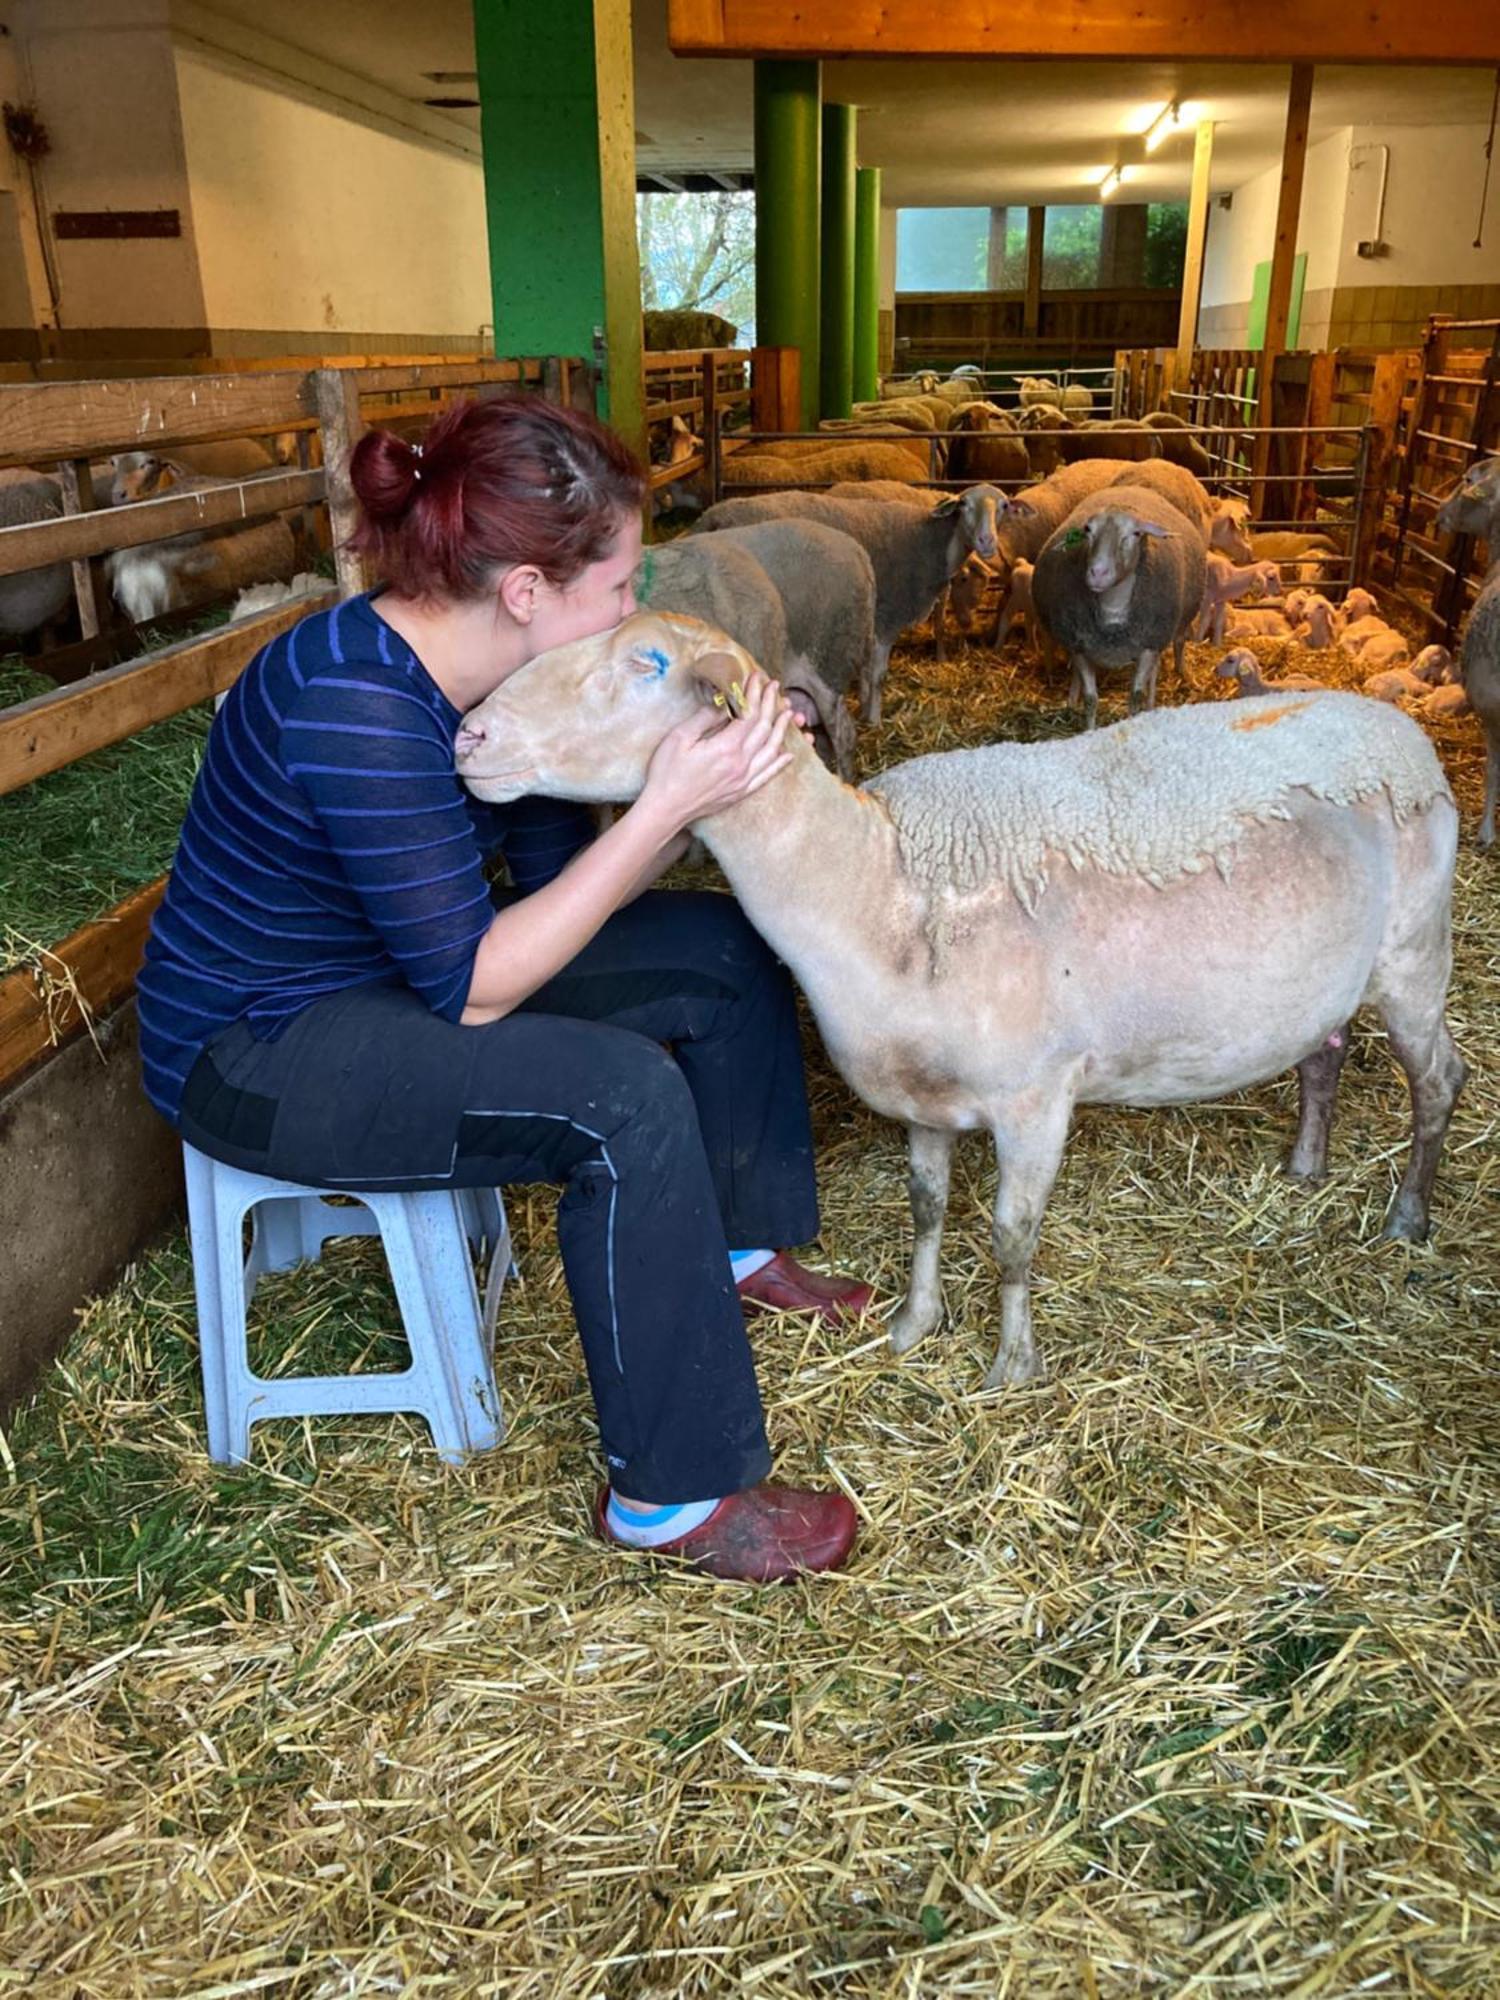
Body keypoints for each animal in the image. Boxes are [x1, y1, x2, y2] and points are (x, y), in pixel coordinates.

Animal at [462, 608, 1472, 1392]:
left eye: (645, 664)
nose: (470, 736)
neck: (881, 883)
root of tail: (1400, 729)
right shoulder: (923, 1100)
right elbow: (928, 1208)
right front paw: (915, 1323)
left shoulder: (1036, 1099)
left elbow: (1011, 1236)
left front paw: (1010, 1365)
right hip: (1325, 980)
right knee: (1325, 1051)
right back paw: (1305, 1164)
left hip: (1415, 954)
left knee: (1439, 1079)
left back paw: (1408, 1218)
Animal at [696, 480, 1012, 724]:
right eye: (964, 505)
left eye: (1004, 506)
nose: (986, 541)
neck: (930, 539)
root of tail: (712, 516)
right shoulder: (886, 616)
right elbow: (878, 674)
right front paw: (874, 719)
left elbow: (865, 668)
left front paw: (863, 702)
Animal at [1032, 484, 1208, 728]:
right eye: (1088, 530)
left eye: (1135, 533)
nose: (1097, 573)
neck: (1113, 609)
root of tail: (1131, 487)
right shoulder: (1079, 646)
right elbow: (1090, 699)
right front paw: (1088, 729)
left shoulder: (1148, 645)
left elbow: (1135, 696)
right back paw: (1071, 702)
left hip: (1163, 634)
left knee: (1156, 671)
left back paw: (1151, 706)